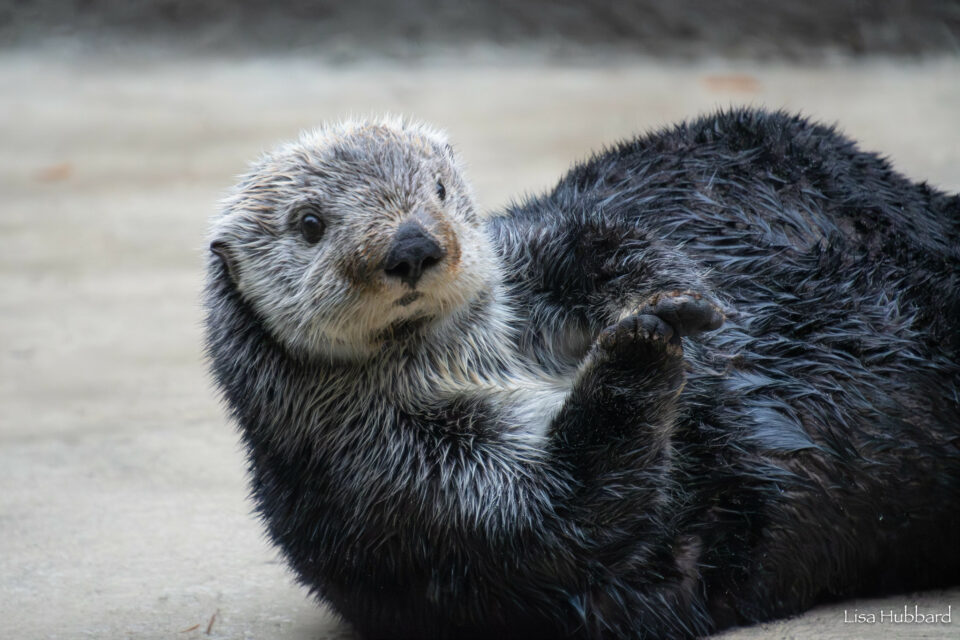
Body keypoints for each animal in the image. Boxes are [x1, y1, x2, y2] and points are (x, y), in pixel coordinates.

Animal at [205, 110, 960, 639]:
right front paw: (639, 346)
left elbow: (602, 242)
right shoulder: (399, 483)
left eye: (439, 190)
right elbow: (562, 517)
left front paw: (677, 303)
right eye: (309, 223)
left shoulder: (536, 253)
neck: (486, 355)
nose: (412, 245)